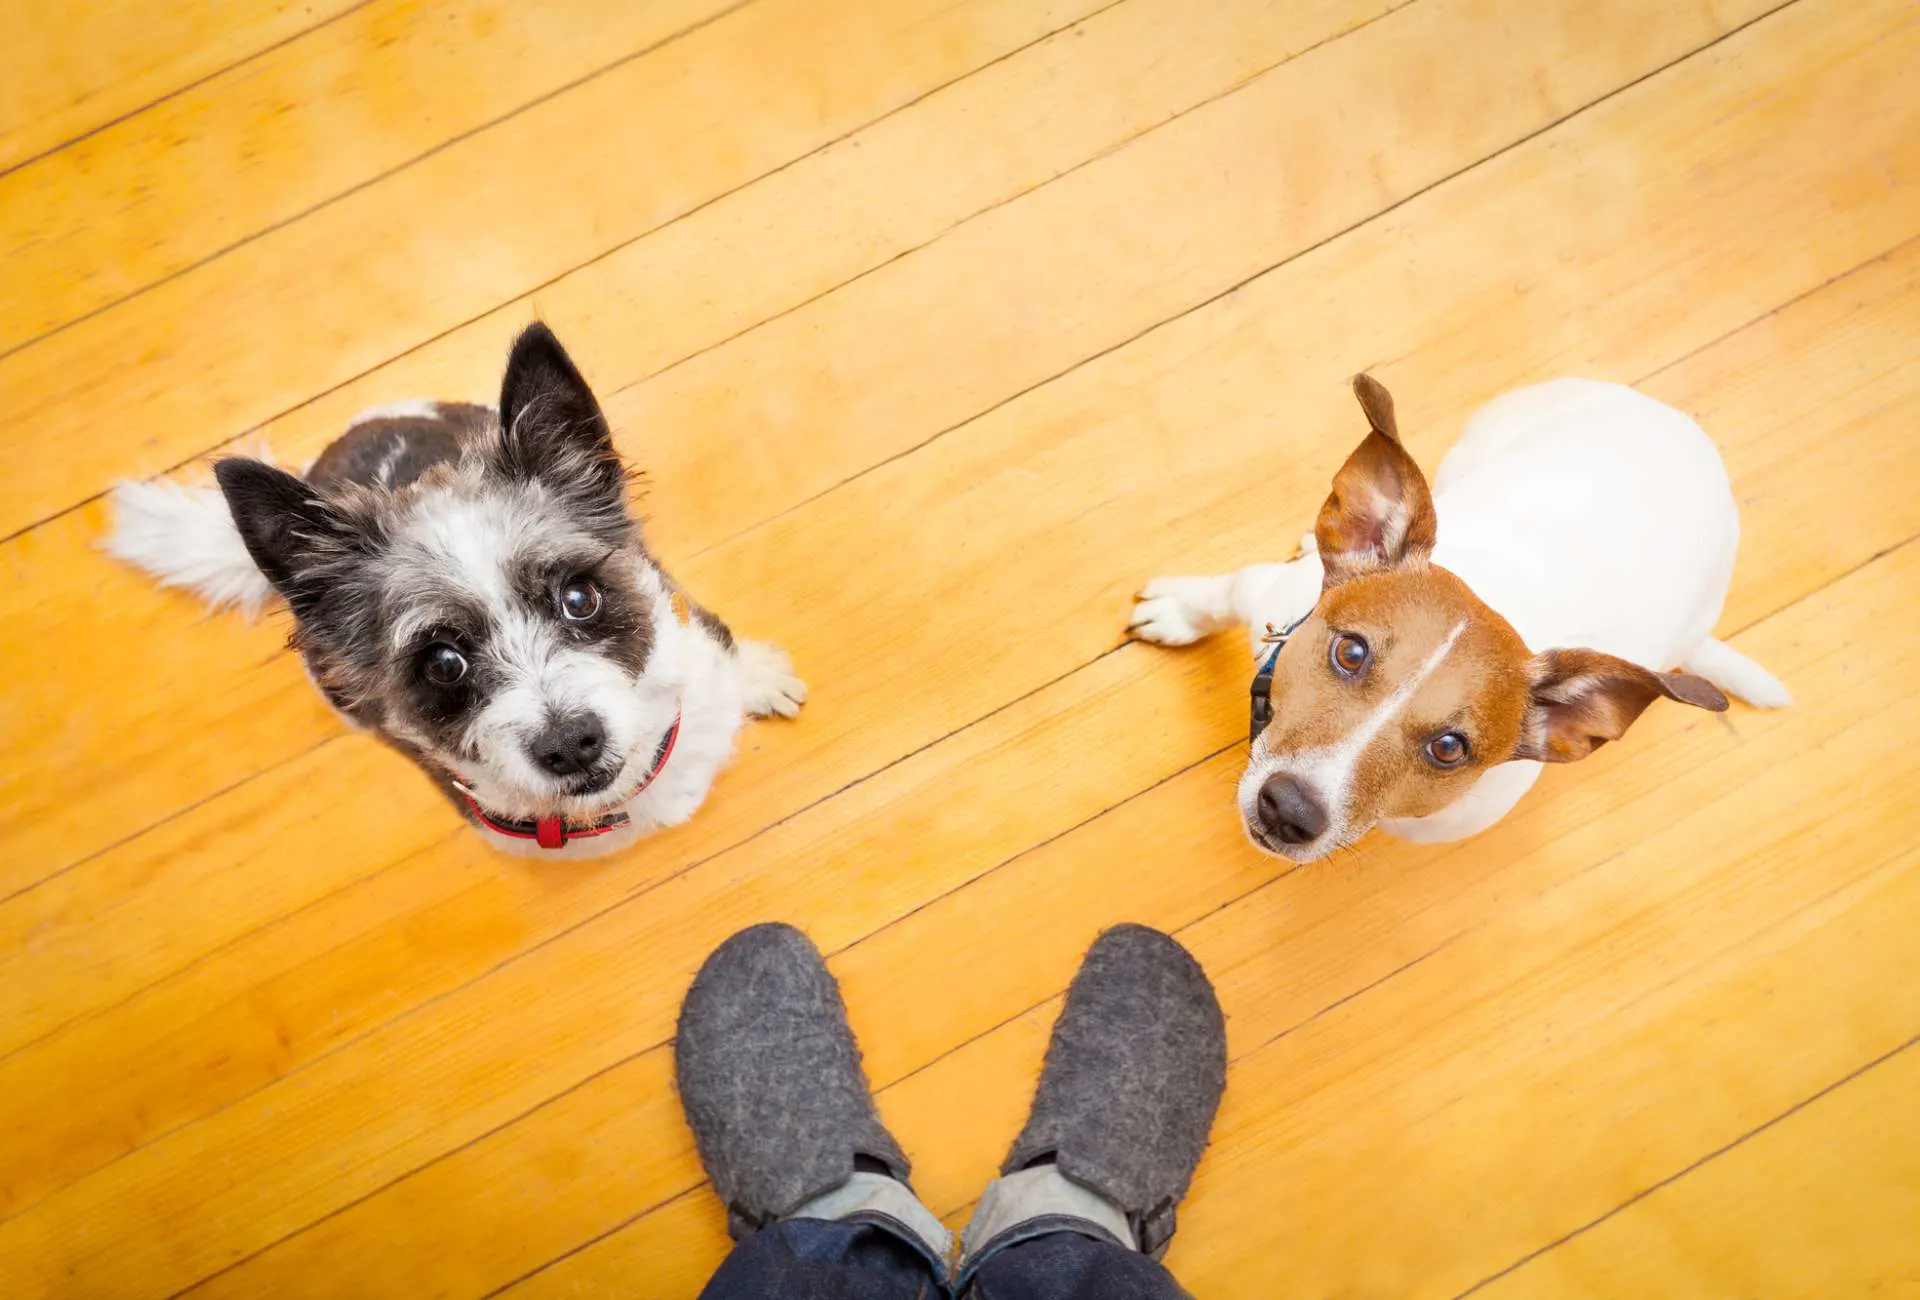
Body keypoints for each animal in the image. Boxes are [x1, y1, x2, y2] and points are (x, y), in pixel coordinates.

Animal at [1121, 374, 1781, 860]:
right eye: (1351, 652)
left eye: (1448, 748)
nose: (1290, 810)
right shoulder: (1263, 594)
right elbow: (1218, 595)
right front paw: (1179, 611)